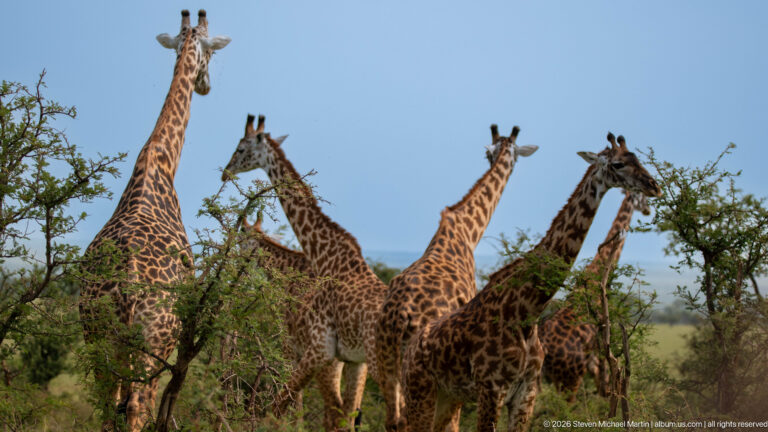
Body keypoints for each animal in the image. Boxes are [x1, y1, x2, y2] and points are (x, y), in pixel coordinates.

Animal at [78, 10, 229, 431]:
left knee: (107, 404)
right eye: (213, 53)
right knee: (137, 405)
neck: (160, 160)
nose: (206, 85)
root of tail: (128, 283)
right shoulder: (181, 333)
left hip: (100, 336)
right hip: (154, 340)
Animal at [376, 125, 538, 431]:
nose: (504, 167)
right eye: (515, 159)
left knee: (393, 419)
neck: (466, 231)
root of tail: (400, 315)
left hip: (385, 358)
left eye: (491, 154)